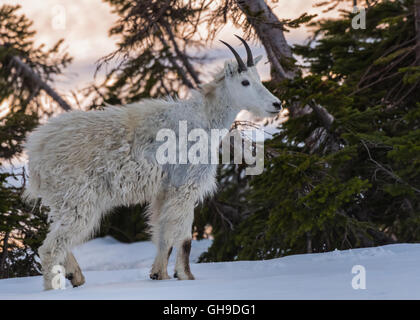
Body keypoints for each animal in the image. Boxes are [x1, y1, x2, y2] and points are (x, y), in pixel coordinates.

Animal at [25, 36, 282, 292]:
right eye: (245, 82)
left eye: (259, 78)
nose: (276, 104)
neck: (206, 121)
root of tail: (36, 153)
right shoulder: (184, 186)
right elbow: (184, 237)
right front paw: (186, 276)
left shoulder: (163, 192)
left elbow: (162, 236)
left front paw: (160, 275)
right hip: (78, 198)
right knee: (50, 247)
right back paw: (54, 289)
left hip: (65, 201)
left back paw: (76, 276)